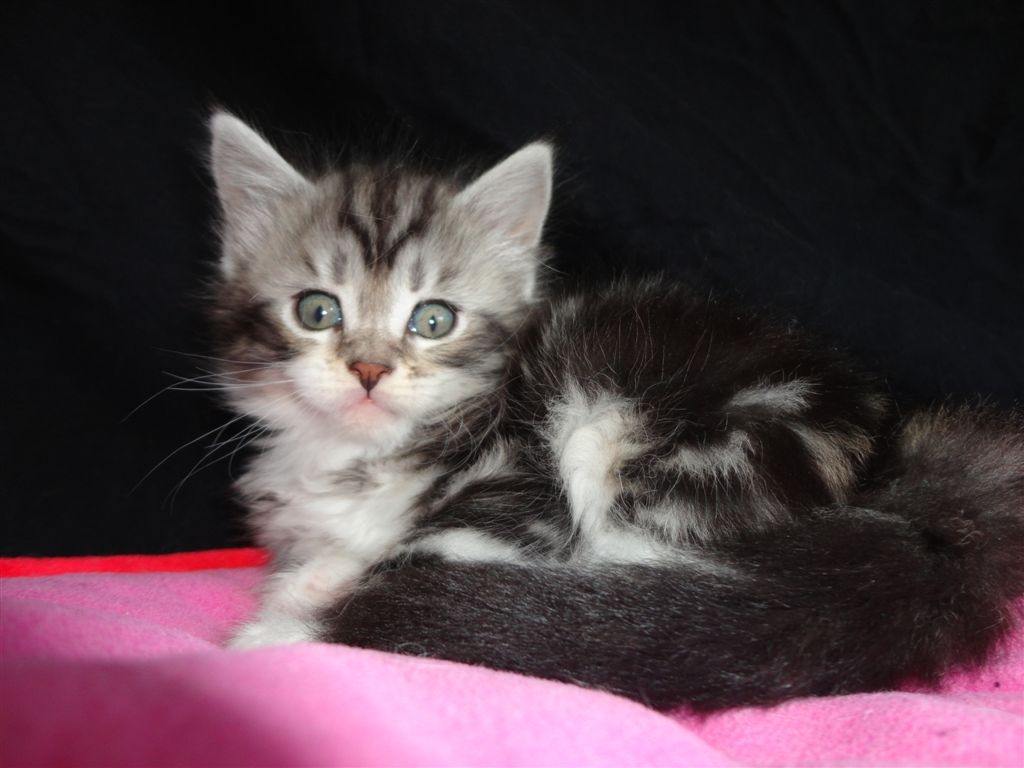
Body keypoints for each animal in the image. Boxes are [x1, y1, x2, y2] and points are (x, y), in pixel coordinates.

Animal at [208, 112, 1024, 710]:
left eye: (433, 320)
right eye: (318, 311)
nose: (370, 371)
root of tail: (895, 464)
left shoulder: (518, 500)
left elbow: (395, 565)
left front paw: (281, 625)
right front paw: (303, 581)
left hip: (631, 428)